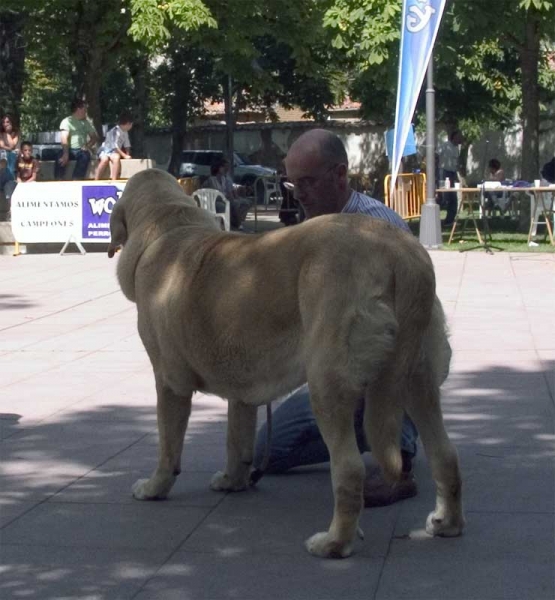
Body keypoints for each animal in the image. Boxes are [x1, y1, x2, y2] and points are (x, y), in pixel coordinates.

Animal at [108, 168, 464, 556]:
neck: (169, 226)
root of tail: (401, 252)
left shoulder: (169, 383)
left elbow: (167, 446)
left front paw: (154, 487)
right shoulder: (242, 390)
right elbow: (237, 440)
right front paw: (233, 480)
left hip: (328, 384)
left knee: (350, 468)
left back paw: (334, 542)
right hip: (417, 382)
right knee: (445, 454)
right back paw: (447, 523)